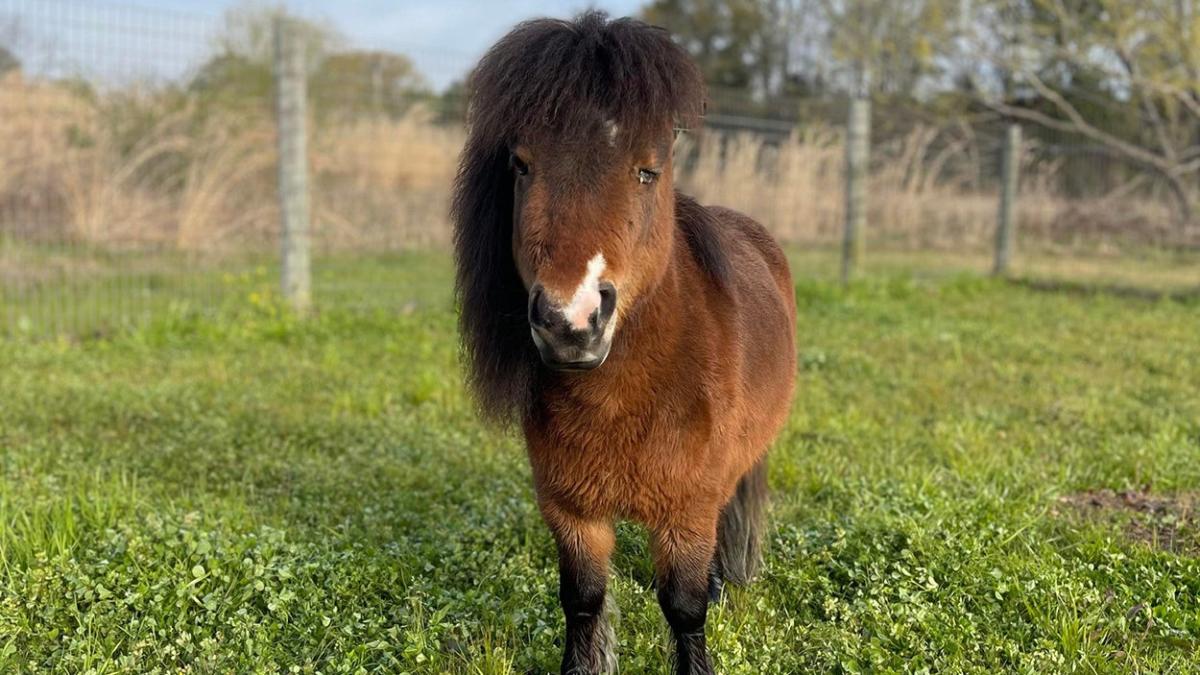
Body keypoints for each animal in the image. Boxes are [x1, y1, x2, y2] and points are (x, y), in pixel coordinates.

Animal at [451, 12, 796, 674]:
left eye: (646, 170)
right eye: (522, 165)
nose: (571, 319)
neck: (623, 397)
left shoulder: (687, 511)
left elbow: (684, 607)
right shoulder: (572, 511)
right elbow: (584, 600)